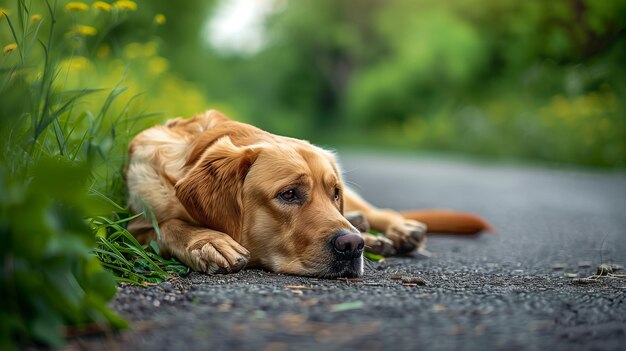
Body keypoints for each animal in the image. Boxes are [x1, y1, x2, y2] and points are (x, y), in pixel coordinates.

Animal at [124, 110, 490, 278]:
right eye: (288, 194)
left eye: (334, 194)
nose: (352, 246)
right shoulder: (134, 225)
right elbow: (169, 225)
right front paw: (209, 241)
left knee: (376, 212)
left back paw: (393, 231)